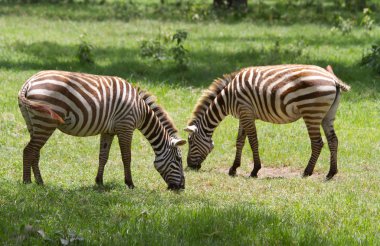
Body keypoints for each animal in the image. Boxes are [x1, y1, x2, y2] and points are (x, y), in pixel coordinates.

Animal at [17, 70, 187, 189]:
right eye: (178, 159)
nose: (182, 187)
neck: (141, 110)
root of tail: (29, 82)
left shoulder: (108, 131)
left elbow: (103, 156)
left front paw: (99, 181)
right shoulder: (126, 126)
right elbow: (127, 157)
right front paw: (130, 183)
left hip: (34, 123)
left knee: (35, 152)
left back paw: (40, 182)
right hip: (46, 123)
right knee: (29, 150)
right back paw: (27, 182)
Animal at [184, 64, 350, 180]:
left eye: (190, 142)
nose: (190, 166)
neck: (227, 98)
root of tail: (333, 78)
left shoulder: (245, 112)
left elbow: (253, 141)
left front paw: (255, 170)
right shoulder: (244, 114)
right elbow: (240, 141)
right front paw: (233, 168)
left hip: (311, 112)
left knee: (317, 143)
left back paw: (307, 172)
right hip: (327, 115)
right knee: (333, 140)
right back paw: (331, 173)